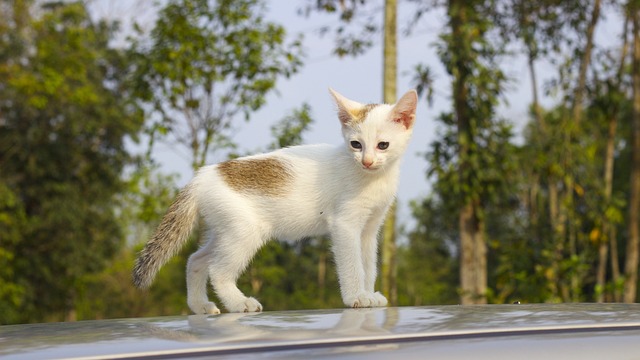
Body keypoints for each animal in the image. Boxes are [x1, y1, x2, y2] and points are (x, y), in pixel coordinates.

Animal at [132, 88, 418, 314]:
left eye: (382, 145)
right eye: (356, 144)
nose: (367, 161)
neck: (372, 178)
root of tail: (202, 176)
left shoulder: (370, 228)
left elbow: (368, 264)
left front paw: (369, 293)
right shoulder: (345, 225)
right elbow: (352, 264)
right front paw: (356, 296)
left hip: (226, 229)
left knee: (196, 260)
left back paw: (199, 305)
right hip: (244, 232)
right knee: (217, 270)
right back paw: (238, 303)